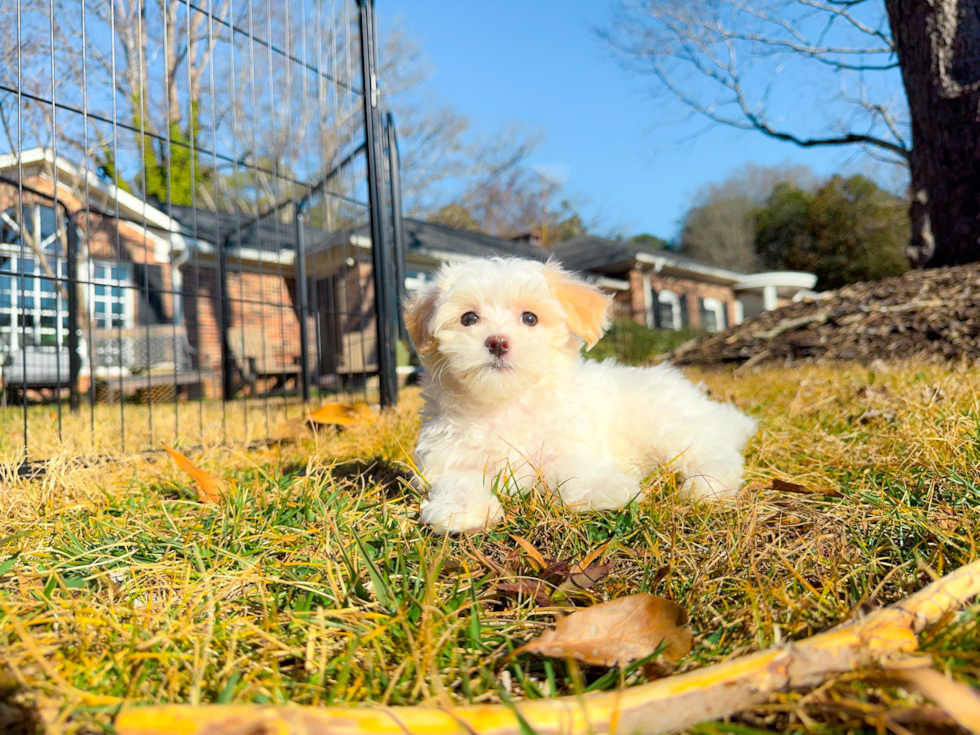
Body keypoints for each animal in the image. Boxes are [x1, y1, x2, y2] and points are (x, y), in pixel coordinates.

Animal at [406, 258, 756, 536]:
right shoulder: (445, 456)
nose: (497, 342)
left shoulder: (568, 442)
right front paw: (462, 510)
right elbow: (457, 479)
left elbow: (571, 470)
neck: (506, 403)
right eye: (468, 318)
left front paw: (606, 489)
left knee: (718, 454)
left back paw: (706, 486)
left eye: (530, 318)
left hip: (669, 427)